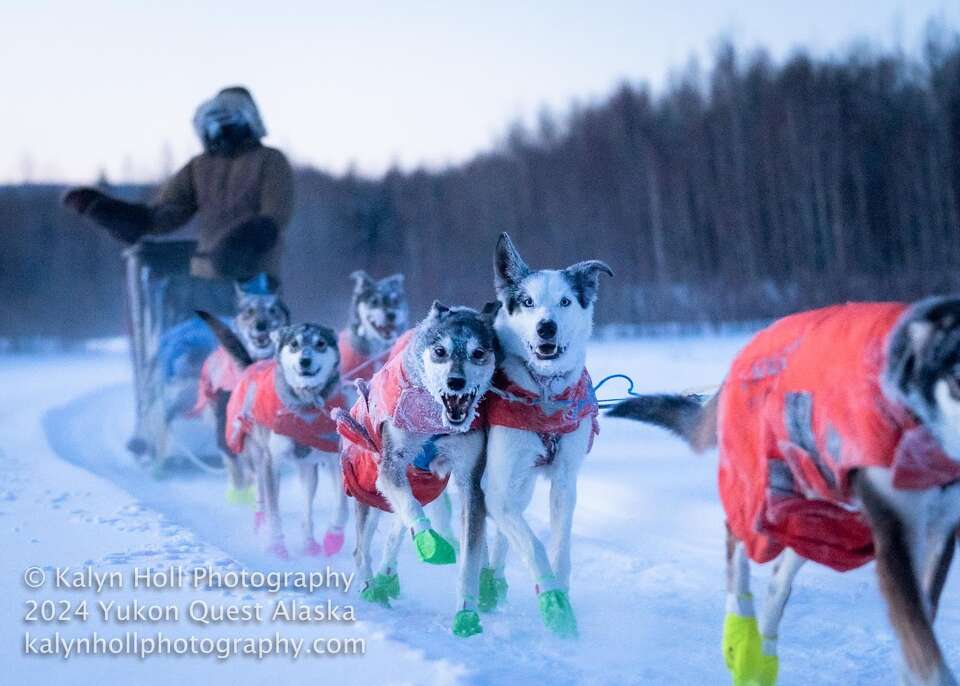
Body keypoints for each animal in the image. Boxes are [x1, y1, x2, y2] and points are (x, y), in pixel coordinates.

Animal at [199, 314, 348, 560]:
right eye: (294, 344)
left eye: (320, 343)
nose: (305, 361)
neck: (305, 404)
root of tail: (252, 365)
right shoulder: (271, 462)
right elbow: (274, 511)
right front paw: (276, 545)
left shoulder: (332, 458)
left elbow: (341, 505)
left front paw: (333, 537)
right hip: (257, 458)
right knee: (261, 492)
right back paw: (261, 523)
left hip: (306, 470)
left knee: (306, 506)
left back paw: (309, 542)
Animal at [484, 234, 612, 644]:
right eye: (527, 301)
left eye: (565, 301)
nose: (546, 328)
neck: (543, 392)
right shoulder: (496, 487)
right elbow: (535, 545)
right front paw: (554, 604)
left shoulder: (564, 482)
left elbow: (559, 547)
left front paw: (561, 595)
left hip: (520, 486)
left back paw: (491, 583)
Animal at [608, 298, 960, 684]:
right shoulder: (894, 532)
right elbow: (923, 645)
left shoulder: (940, 531)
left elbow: (919, 627)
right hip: (768, 497)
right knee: (737, 539)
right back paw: (741, 639)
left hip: (825, 513)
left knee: (780, 576)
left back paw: (762, 655)